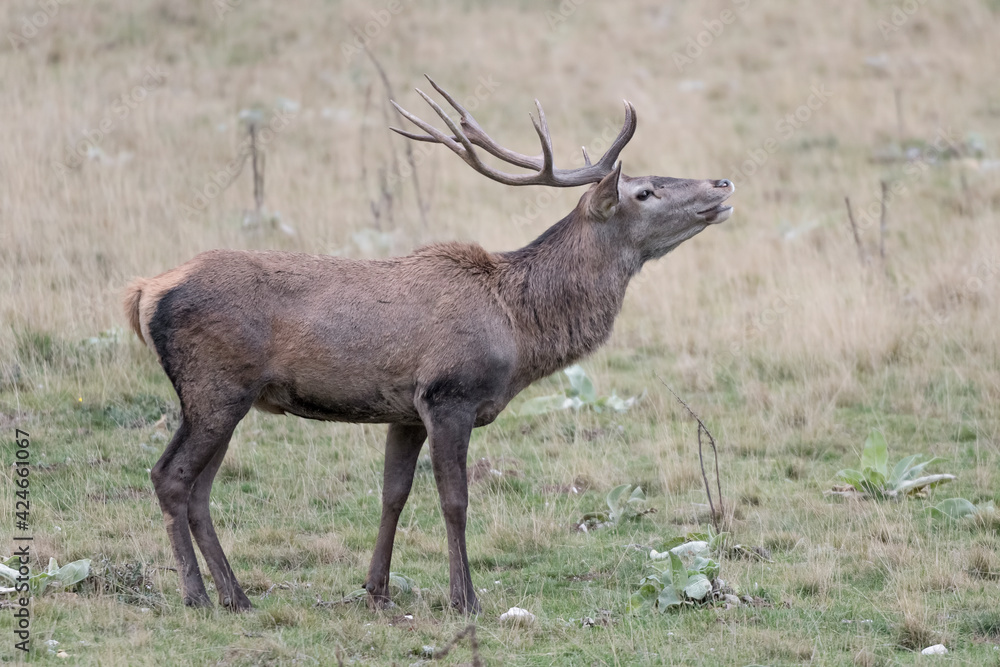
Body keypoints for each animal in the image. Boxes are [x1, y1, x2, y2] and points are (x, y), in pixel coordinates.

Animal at [123, 77, 734, 615]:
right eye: (644, 191)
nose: (723, 185)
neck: (519, 329)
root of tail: (144, 291)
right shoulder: (448, 395)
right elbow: (454, 500)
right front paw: (466, 599)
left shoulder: (404, 411)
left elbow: (392, 494)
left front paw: (377, 590)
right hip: (214, 385)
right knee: (170, 477)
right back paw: (197, 595)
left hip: (231, 397)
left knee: (199, 490)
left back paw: (236, 595)